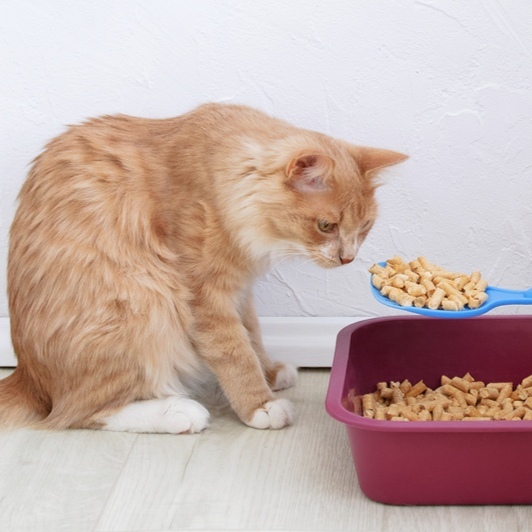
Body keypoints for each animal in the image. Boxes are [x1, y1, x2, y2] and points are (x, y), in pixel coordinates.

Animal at [3, 103, 408, 432]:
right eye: (326, 226)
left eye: (364, 227)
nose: (347, 258)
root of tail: (29, 377)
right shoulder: (202, 293)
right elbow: (234, 352)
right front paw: (260, 406)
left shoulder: (240, 290)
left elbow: (252, 335)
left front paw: (270, 372)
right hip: (140, 303)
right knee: (81, 413)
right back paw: (179, 412)